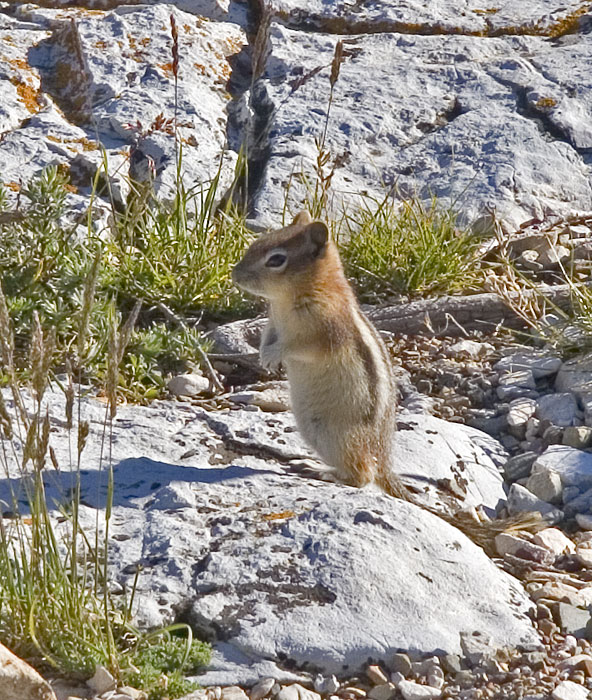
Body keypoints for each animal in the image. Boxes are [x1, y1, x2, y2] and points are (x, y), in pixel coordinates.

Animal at [231, 209, 408, 498]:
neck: (287, 298)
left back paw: (323, 473)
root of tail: (383, 458)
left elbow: (295, 346)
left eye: (276, 259)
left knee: (362, 475)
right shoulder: (273, 322)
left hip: (338, 437)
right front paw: (263, 356)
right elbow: (268, 337)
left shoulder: (322, 333)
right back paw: (312, 463)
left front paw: (273, 355)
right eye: (256, 243)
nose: (235, 274)